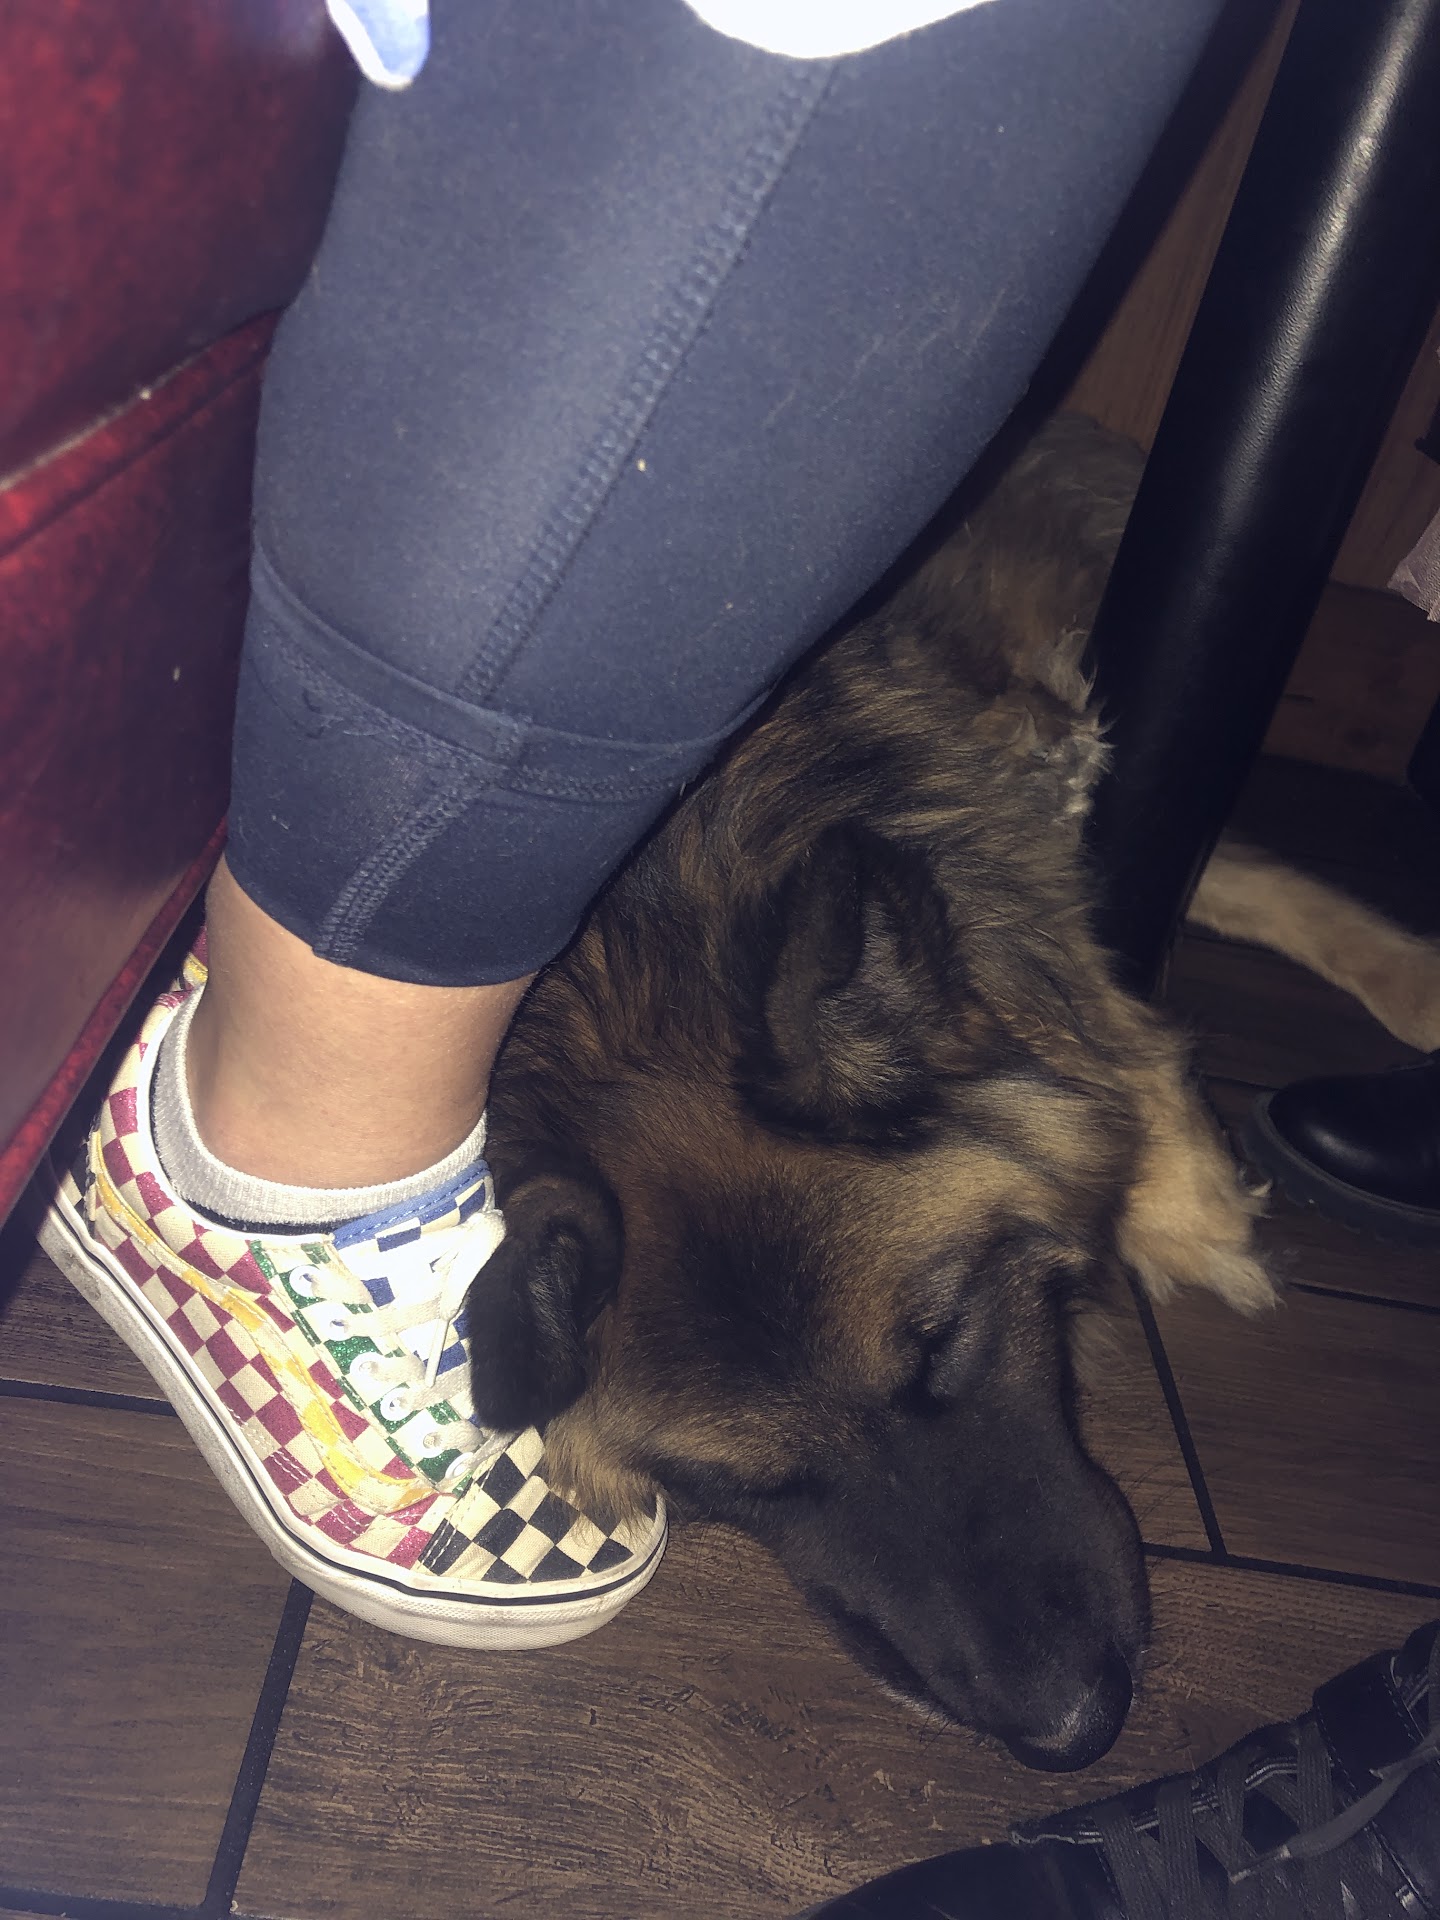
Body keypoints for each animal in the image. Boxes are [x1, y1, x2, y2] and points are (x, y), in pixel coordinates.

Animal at [467, 413, 1440, 1772]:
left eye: (943, 1344)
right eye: (751, 1486)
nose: (1071, 1731)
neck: (645, 945)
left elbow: (1108, 1015)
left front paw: (1188, 1203)